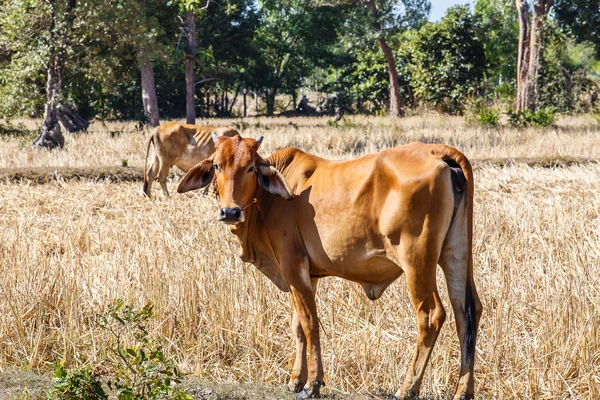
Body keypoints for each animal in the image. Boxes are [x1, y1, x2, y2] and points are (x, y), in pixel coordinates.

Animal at [177, 135, 482, 400]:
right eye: (217, 165)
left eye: (250, 167)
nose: (230, 212)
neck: (273, 199)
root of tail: (439, 151)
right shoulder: (307, 275)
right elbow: (297, 325)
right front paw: (295, 380)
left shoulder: (292, 264)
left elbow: (309, 322)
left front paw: (312, 384)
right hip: (456, 254)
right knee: (467, 311)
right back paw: (463, 392)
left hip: (417, 261)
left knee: (431, 316)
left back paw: (407, 389)